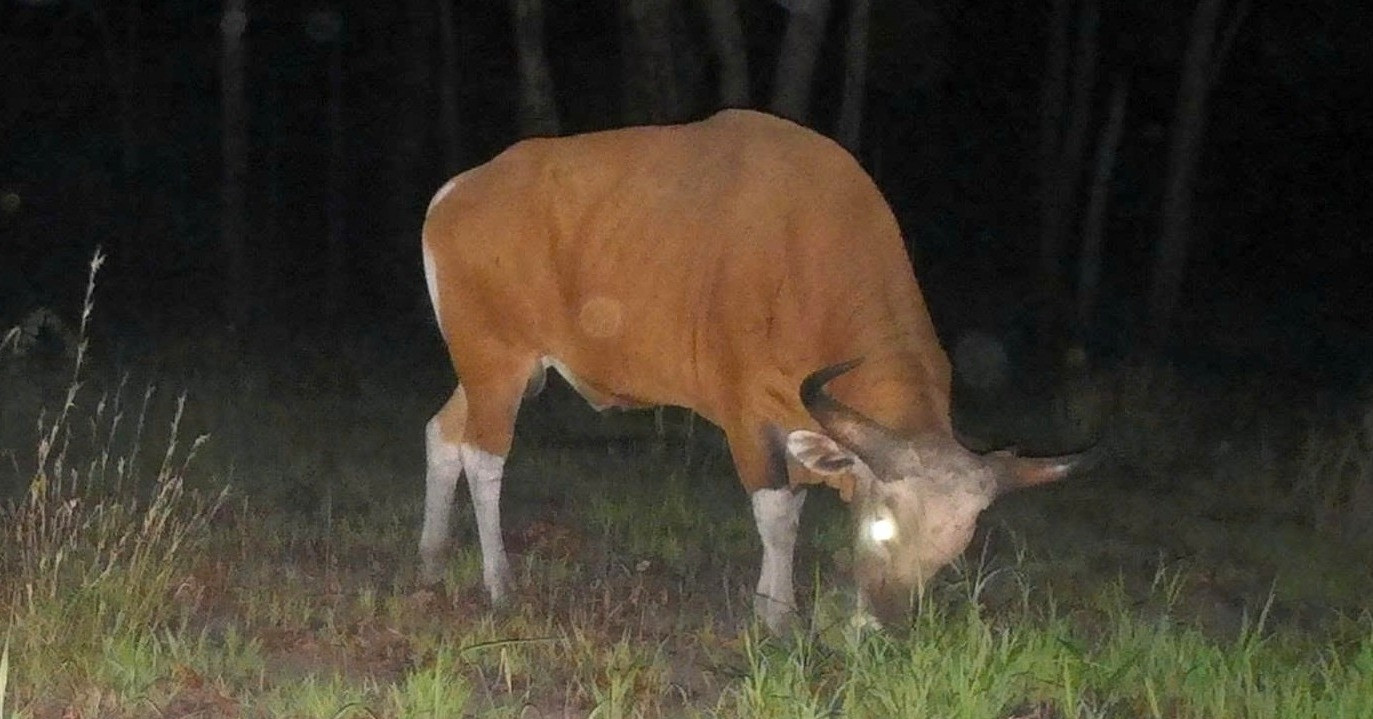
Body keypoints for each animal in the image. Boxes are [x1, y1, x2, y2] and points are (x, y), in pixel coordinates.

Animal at [418, 109, 1084, 632]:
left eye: (953, 552)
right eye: (882, 528)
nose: (885, 624)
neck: (810, 261)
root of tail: (454, 191)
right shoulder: (745, 412)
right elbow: (779, 514)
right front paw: (777, 614)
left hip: (492, 367)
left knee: (442, 435)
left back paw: (431, 553)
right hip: (497, 359)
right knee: (483, 457)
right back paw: (499, 583)